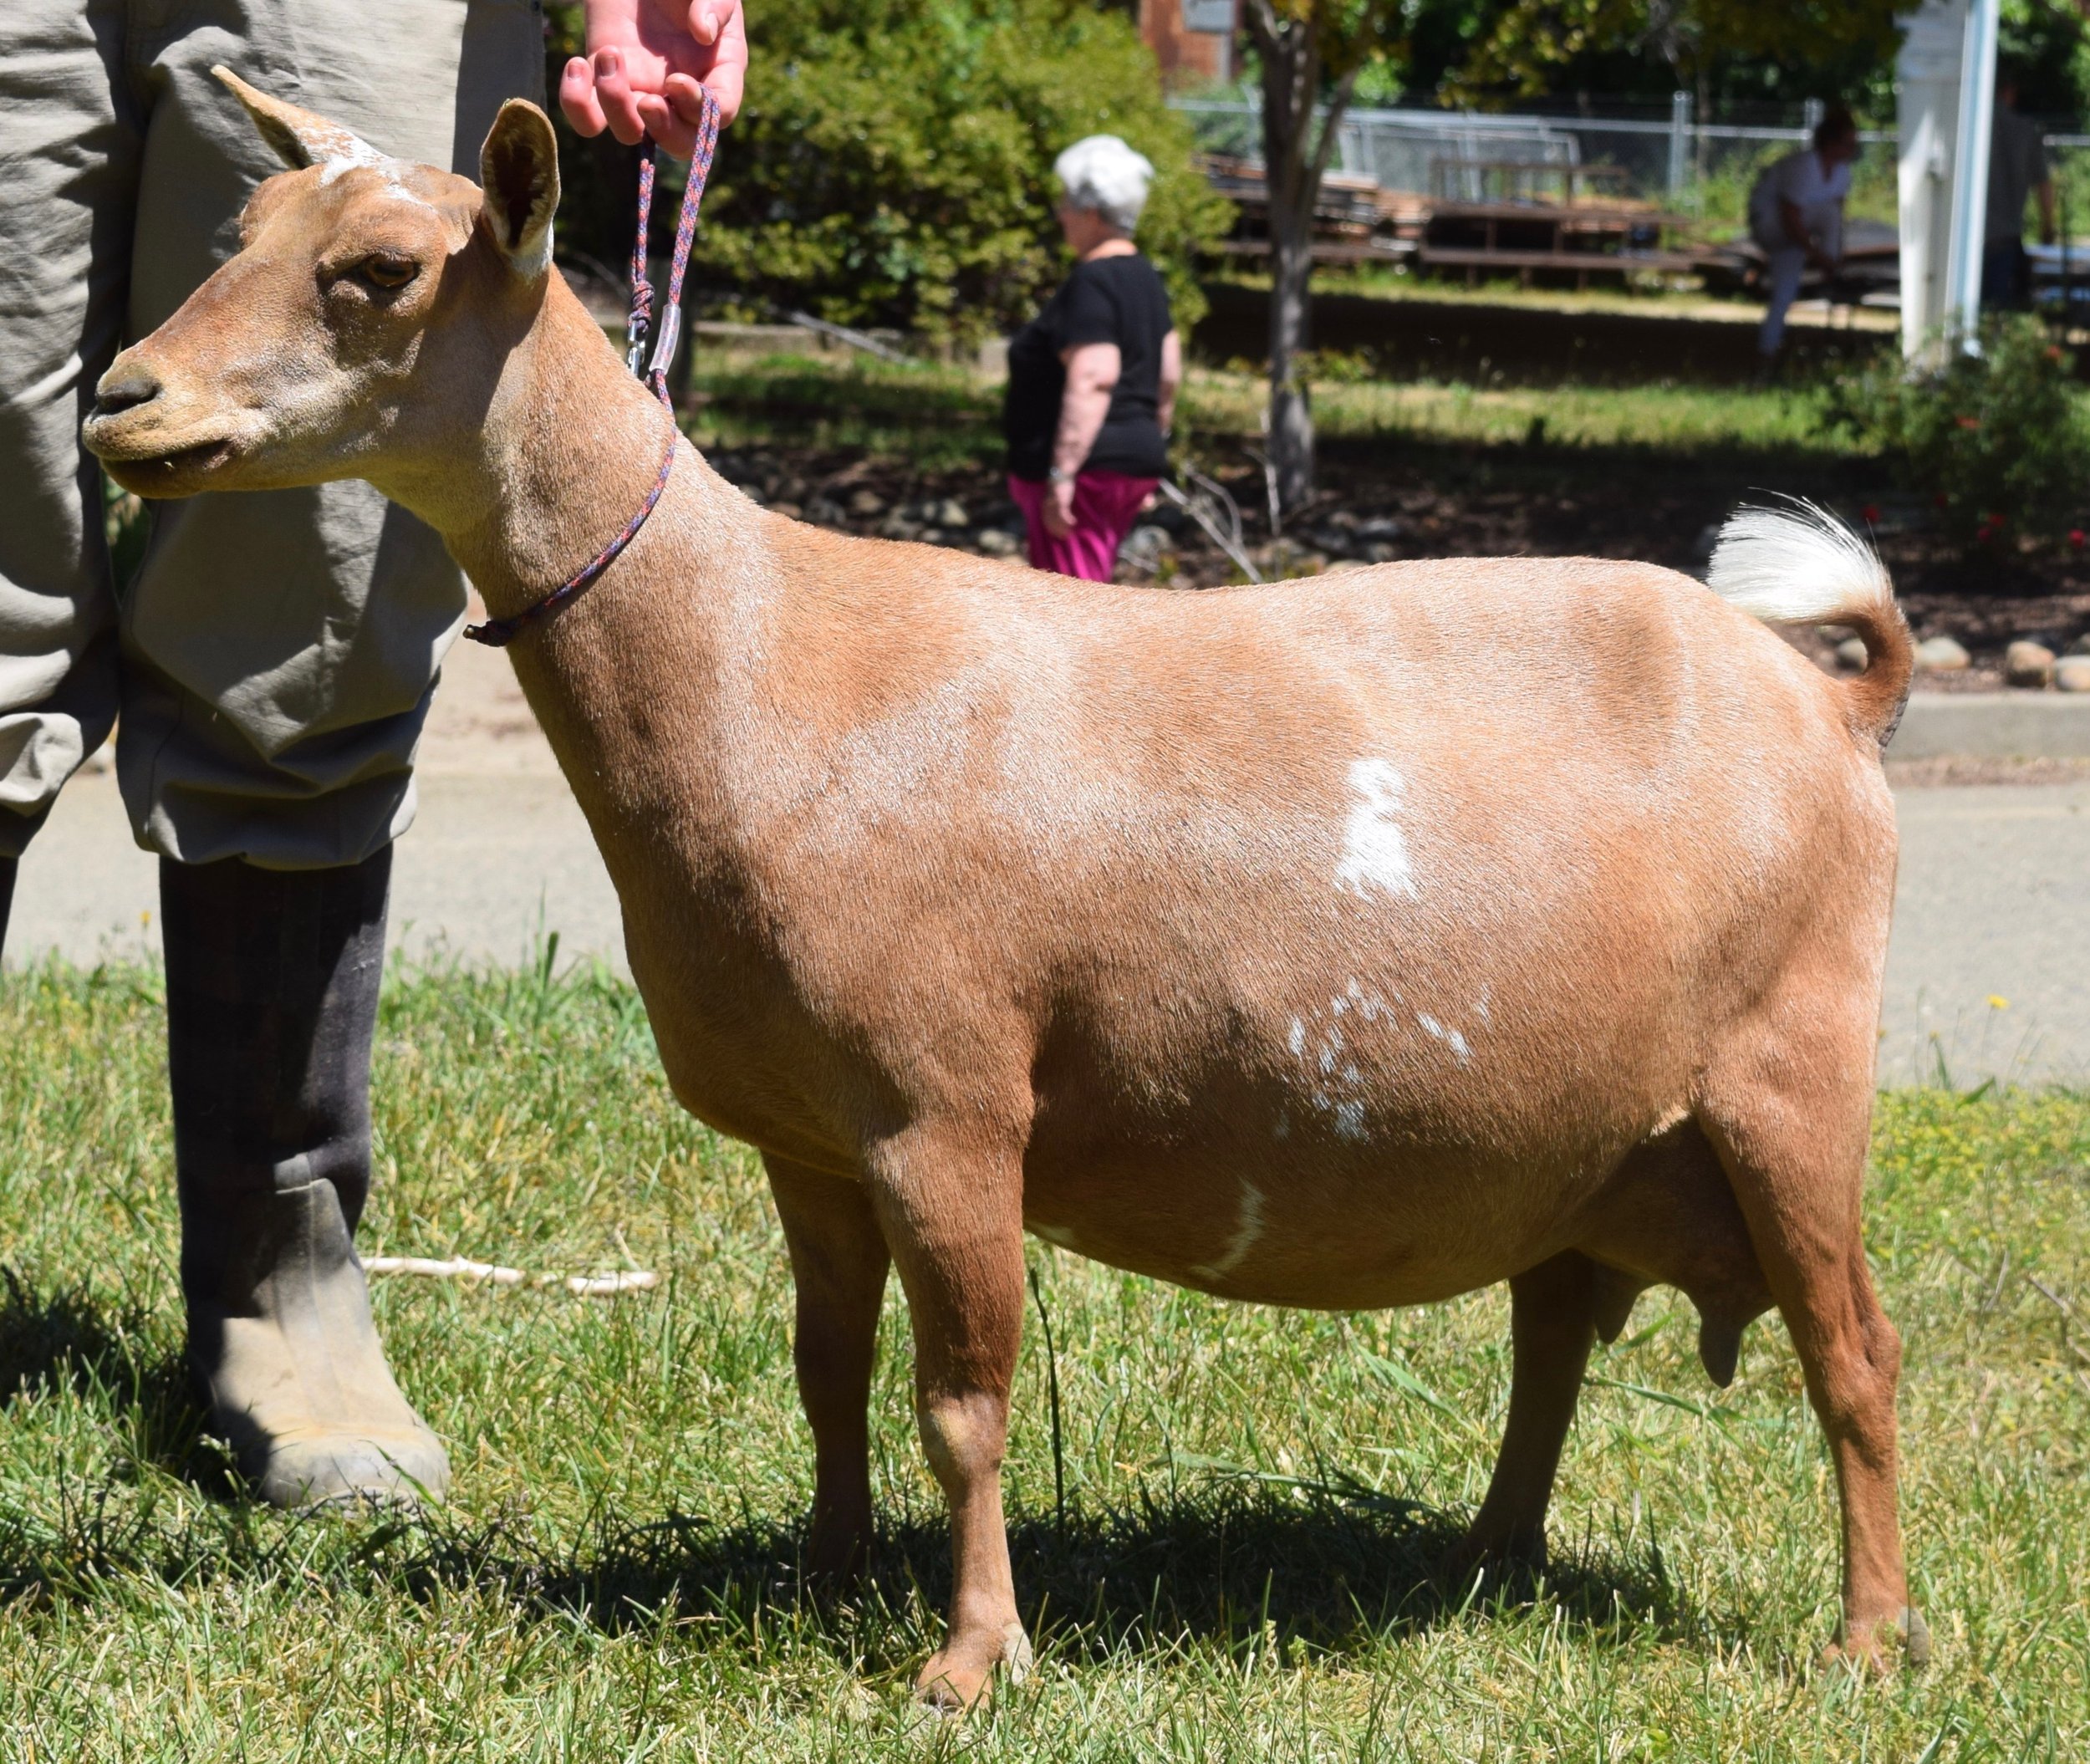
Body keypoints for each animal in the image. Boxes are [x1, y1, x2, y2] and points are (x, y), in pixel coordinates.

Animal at [94, 82, 1923, 1705]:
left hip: (1792, 1074)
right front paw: (822, 1574)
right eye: (240, 229)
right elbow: (827, 1364)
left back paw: (1863, 1642)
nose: (123, 399)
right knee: (1553, 1340)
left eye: (379, 269)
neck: (760, 661)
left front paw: (973, 1659)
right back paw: (1488, 1562)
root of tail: (1830, 694)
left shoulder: (950, 1104)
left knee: (1853, 1352)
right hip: (1583, 1134)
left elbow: (961, 1397)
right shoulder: (811, 1130)